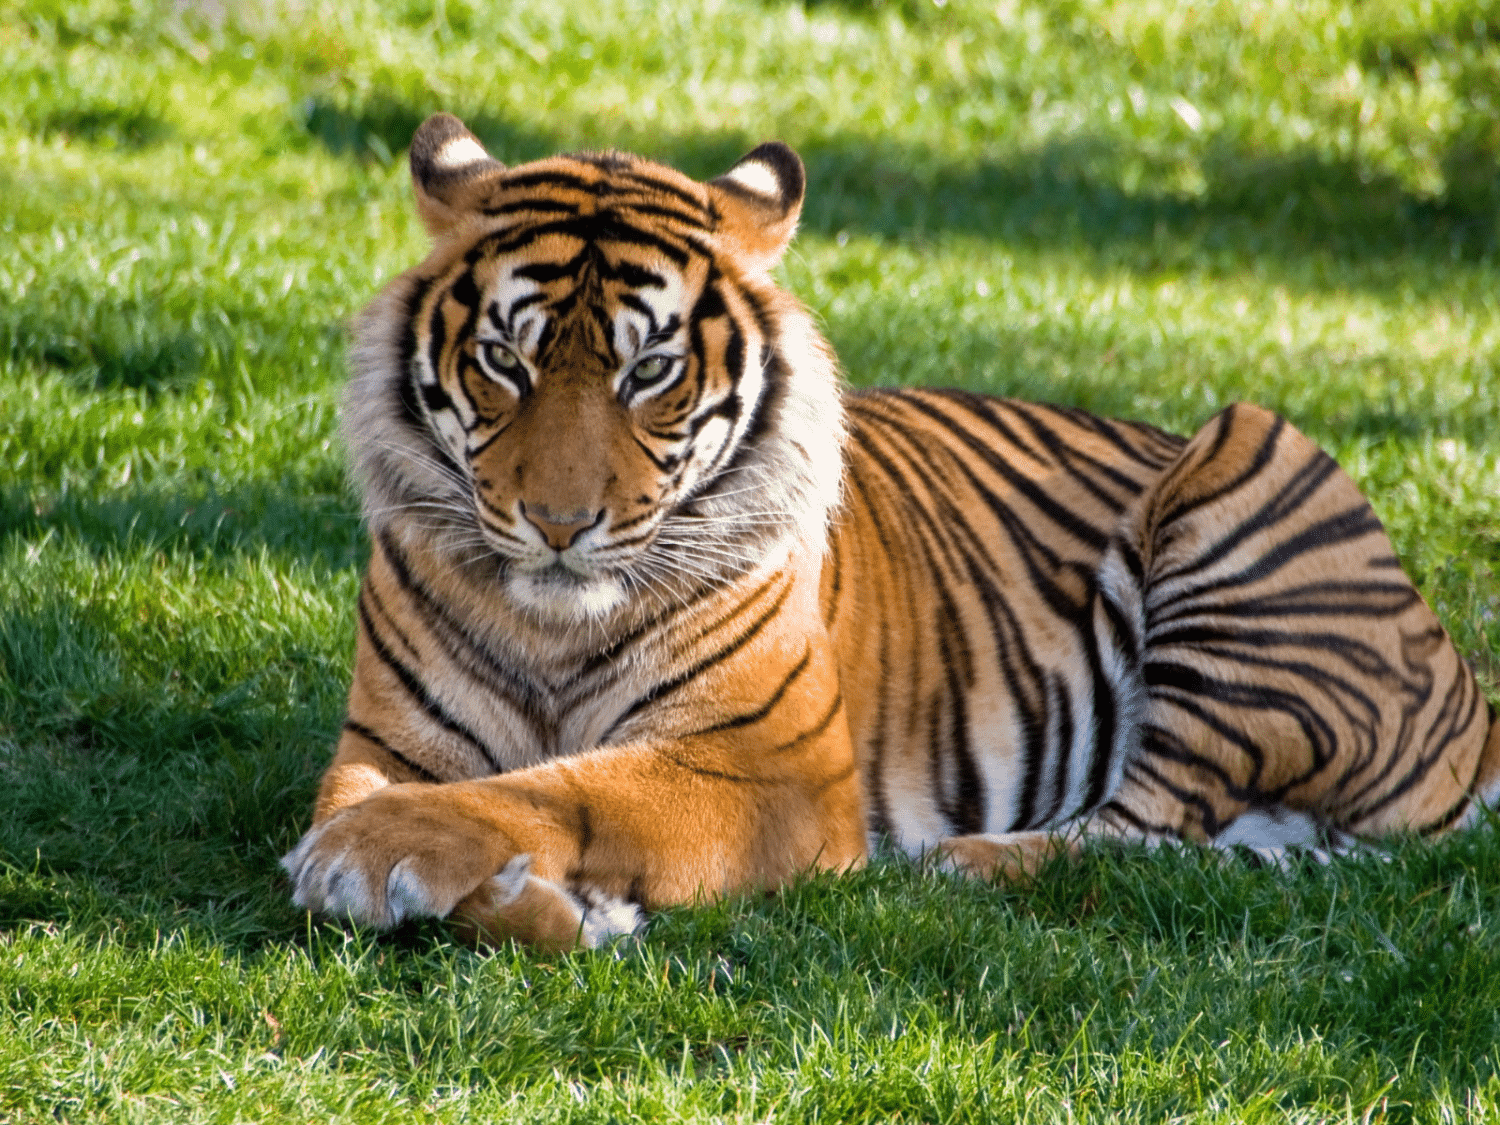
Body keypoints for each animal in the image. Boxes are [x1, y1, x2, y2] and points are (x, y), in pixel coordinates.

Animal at [282, 117, 1500, 954]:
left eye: (651, 371)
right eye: (507, 360)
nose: (559, 525)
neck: (553, 627)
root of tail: (1472, 699)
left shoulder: (771, 769)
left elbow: (561, 788)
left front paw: (369, 858)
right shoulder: (387, 740)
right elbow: (410, 796)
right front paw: (531, 901)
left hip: (1250, 460)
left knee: (1146, 826)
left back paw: (958, 863)